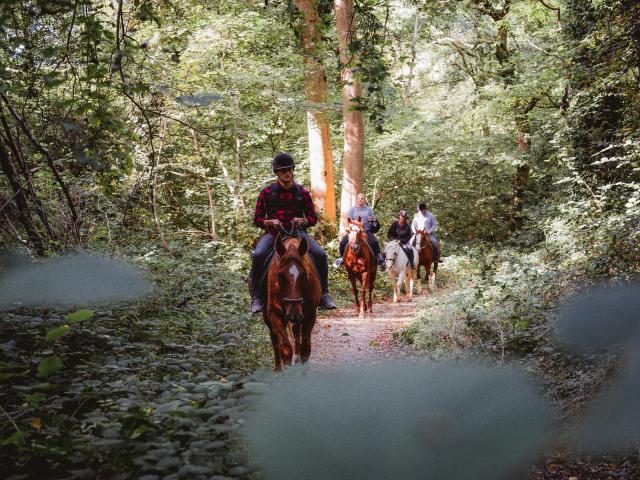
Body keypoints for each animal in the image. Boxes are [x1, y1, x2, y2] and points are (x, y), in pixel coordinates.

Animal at [262, 232, 320, 372]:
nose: (294, 314)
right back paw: (278, 369)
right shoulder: (275, 314)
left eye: (304, 275)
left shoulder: (310, 315)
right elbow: (285, 349)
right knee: (274, 338)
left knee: (296, 335)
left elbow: (305, 349)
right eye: (280, 276)